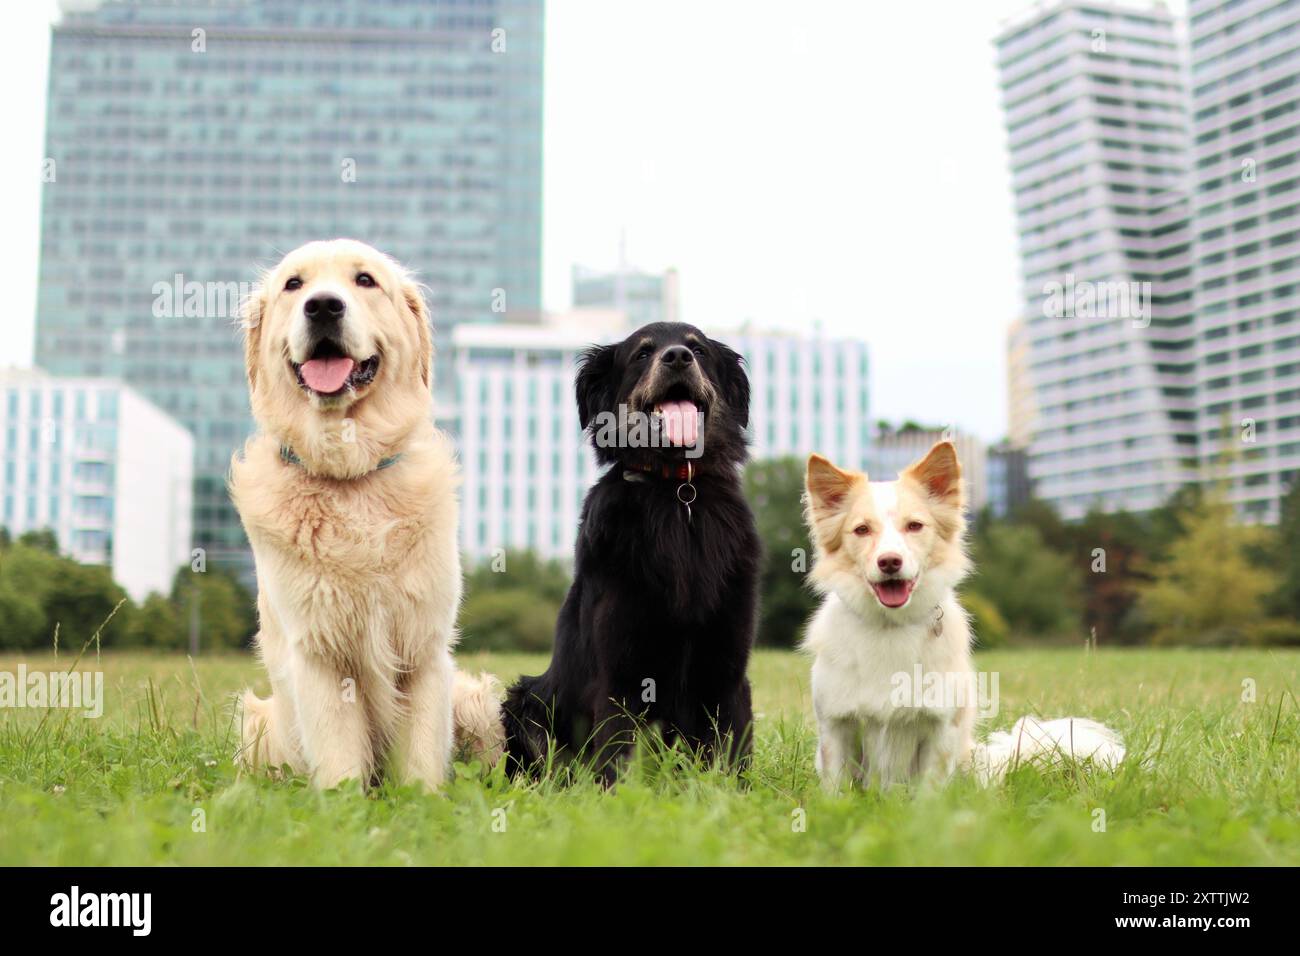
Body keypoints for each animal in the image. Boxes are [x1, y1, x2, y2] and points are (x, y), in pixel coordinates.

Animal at [231, 240, 499, 790]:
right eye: (294, 284)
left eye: (365, 280)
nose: (322, 306)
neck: (352, 477)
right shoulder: (319, 652)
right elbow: (339, 760)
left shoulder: (423, 649)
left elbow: (420, 759)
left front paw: (423, 800)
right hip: (258, 722)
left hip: (477, 702)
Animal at [499, 323, 759, 785]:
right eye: (642, 354)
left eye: (697, 349)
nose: (677, 357)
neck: (676, 490)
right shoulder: (622, 672)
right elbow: (618, 757)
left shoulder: (728, 667)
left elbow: (732, 755)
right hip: (526, 702)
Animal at [800, 444, 1118, 790]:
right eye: (861, 530)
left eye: (914, 526)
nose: (890, 562)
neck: (891, 625)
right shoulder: (836, 726)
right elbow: (837, 787)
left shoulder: (940, 728)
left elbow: (930, 789)